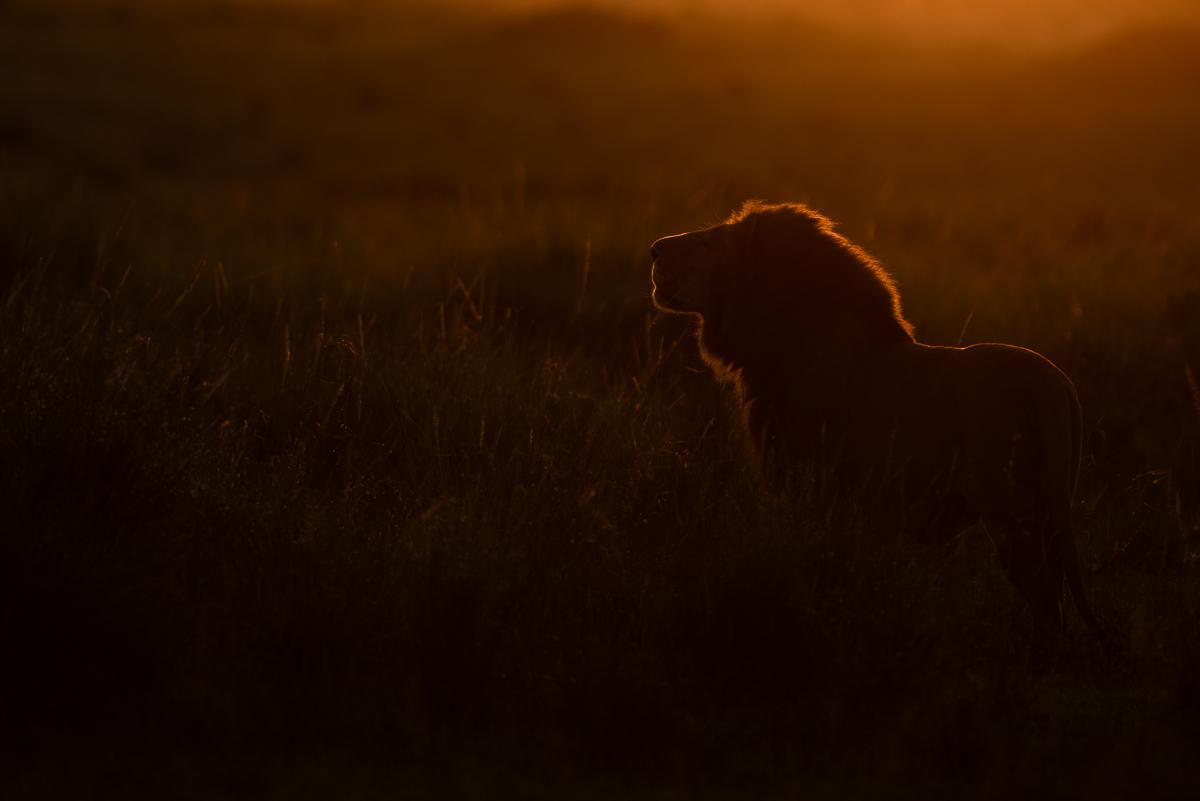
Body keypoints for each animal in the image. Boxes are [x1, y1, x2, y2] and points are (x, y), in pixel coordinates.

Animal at [657, 201, 1104, 652]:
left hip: (1011, 513)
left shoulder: (813, 488)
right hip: (1048, 510)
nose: (656, 248)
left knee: (1046, 602)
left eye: (709, 242)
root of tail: (1050, 382)